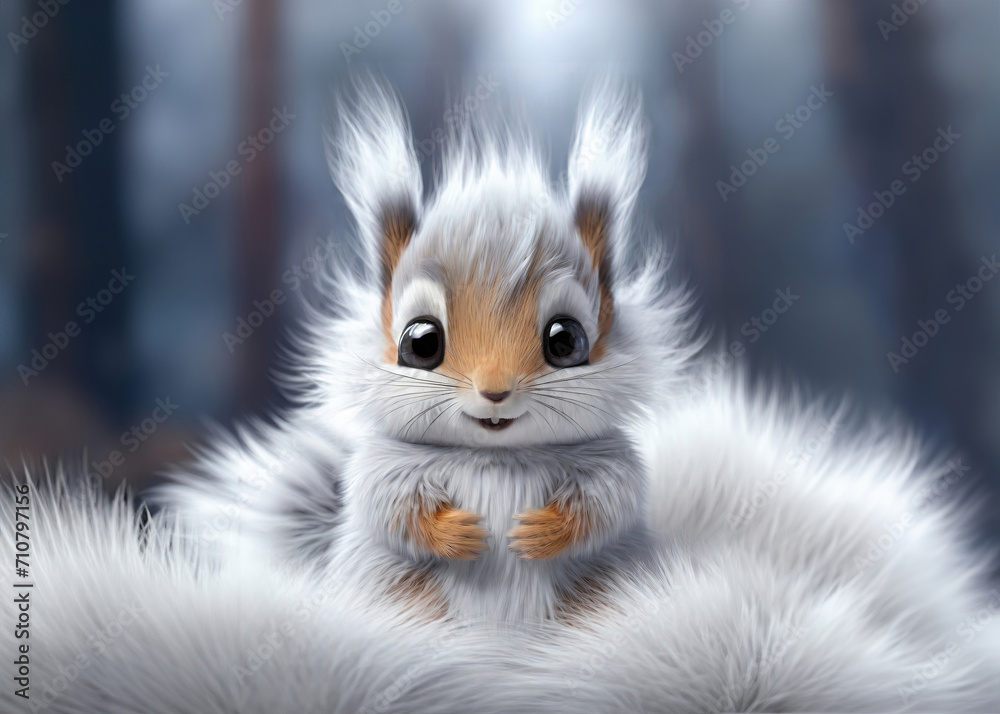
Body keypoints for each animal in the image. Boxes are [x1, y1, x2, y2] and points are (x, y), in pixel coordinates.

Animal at [157, 76, 696, 624]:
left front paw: (540, 531)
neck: (496, 457)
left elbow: (608, 502)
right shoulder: (385, 465)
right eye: (421, 343)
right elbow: (390, 506)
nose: (495, 392)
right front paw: (458, 532)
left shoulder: (611, 461)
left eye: (567, 340)